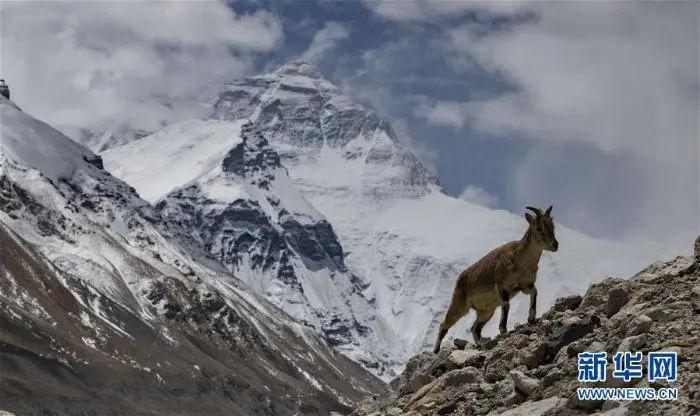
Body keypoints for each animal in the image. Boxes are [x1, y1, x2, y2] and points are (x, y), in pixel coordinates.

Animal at [432, 205, 556, 352]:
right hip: (460, 305)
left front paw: (531, 318)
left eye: (553, 226)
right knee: (444, 325)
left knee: (475, 328)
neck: (520, 260)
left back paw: (481, 345)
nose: (555, 245)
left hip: (487, 311)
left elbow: (534, 292)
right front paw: (503, 330)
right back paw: (436, 351)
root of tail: (460, 279)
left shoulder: (525, 285)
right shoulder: (502, 285)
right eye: (539, 228)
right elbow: (506, 305)